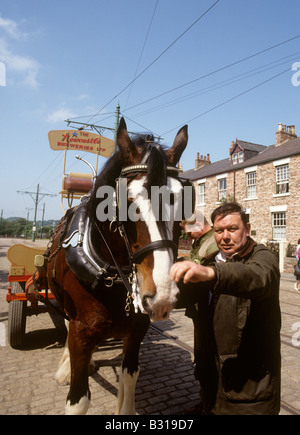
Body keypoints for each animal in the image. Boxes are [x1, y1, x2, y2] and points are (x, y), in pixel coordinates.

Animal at [46, 118, 192, 416]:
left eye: (184, 201)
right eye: (126, 201)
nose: (162, 296)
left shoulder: (137, 330)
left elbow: (130, 375)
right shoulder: (81, 332)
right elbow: (78, 400)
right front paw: (71, 369)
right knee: (65, 326)